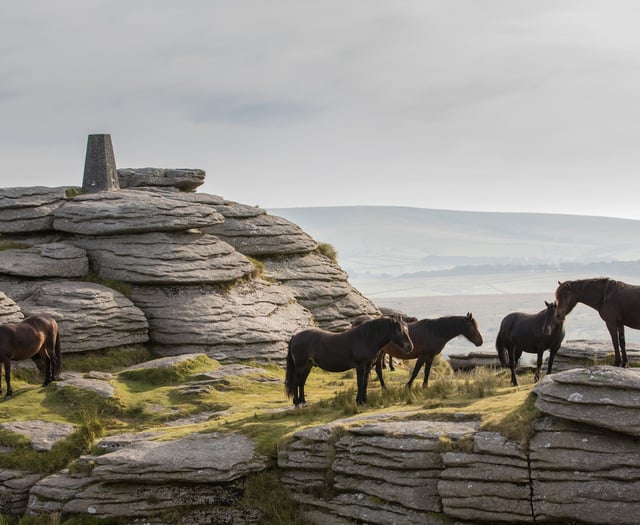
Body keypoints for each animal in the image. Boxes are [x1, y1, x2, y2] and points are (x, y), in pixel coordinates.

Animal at [284, 316, 412, 406]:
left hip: (308, 365)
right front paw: (359, 401)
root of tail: (295, 337)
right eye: (400, 331)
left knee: (301, 382)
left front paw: (364, 400)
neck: (366, 338)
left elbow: (365, 382)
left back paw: (303, 401)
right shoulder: (360, 366)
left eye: (407, 329)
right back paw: (297, 403)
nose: (410, 347)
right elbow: (360, 382)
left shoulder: (368, 365)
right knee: (296, 382)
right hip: (300, 366)